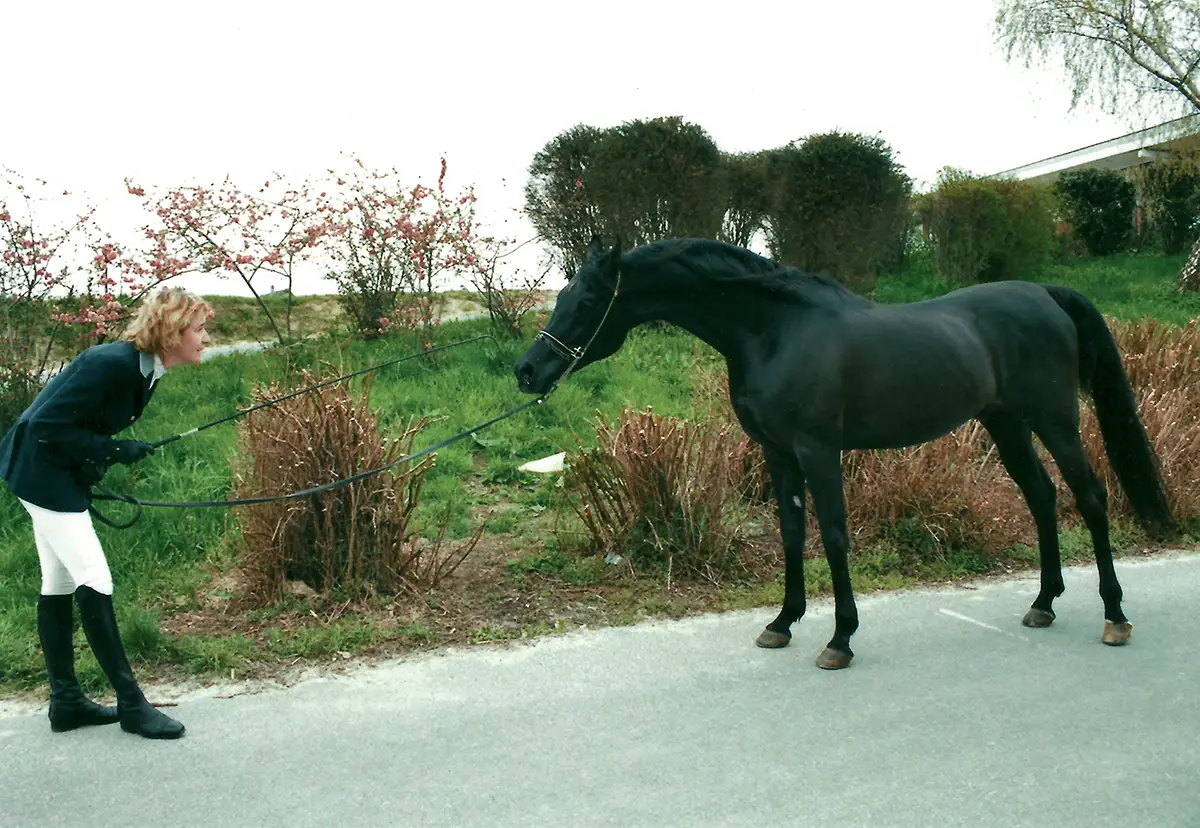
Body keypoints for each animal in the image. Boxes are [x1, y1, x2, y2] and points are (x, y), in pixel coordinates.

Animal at [514, 235, 1176, 670]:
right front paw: (782, 624)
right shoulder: (778, 454)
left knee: (1091, 498)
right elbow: (790, 533)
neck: (773, 330)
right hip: (1005, 424)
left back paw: (1115, 616)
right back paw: (1043, 604)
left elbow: (832, 535)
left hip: (1054, 421)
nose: (527, 371)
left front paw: (840, 638)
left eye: (586, 301)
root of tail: (1045, 293)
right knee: (1042, 497)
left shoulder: (817, 450)